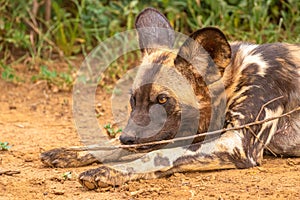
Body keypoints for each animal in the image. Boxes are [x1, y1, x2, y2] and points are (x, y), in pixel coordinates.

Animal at [41, 7, 298, 189]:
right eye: (133, 99)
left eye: (163, 100)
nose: (127, 138)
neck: (232, 80)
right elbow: (109, 144)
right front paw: (69, 152)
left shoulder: (237, 145)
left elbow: (157, 156)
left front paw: (108, 171)